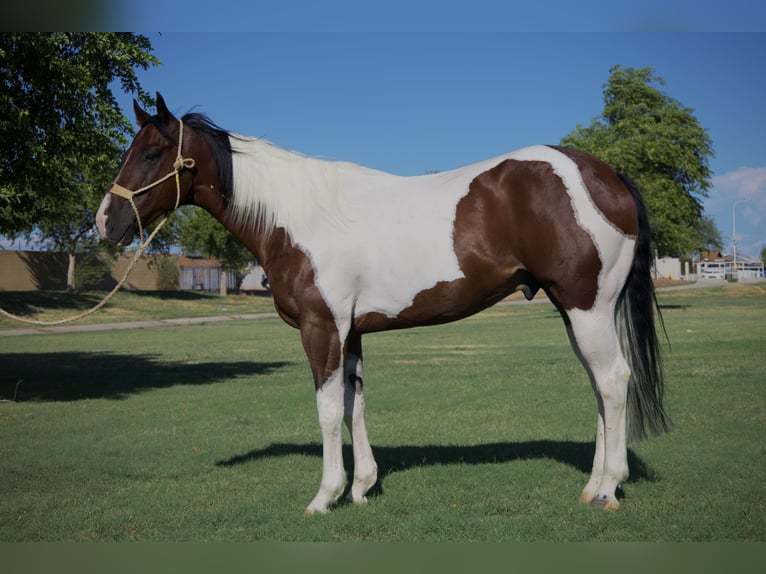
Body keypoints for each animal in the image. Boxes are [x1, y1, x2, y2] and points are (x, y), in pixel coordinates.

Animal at [96, 93, 670, 513]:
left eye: (150, 153)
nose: (105, 221)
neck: (298, 217)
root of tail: (605, 175)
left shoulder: (322, 328)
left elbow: (329, 410)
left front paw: (325, 497)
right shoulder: (350, 332)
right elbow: (356, 404)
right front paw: (361, 487)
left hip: (586, 307)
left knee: (613, 380)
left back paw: (608, 489)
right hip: (577, 312)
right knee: (599, 387)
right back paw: (592, 485)